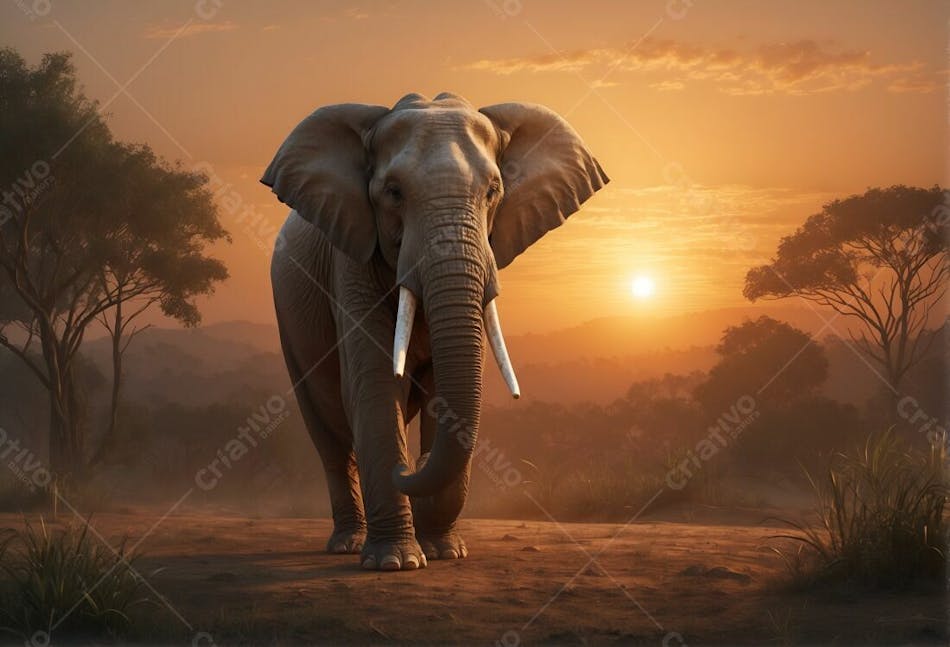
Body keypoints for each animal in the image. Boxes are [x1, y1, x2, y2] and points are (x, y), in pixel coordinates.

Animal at [264, 92, 607, 571]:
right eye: (393, 193)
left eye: (493, 191)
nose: (417, 460)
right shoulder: (350, 260)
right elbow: (373, 385)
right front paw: (395, 563)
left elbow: (444, 395)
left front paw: (444, 551)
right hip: (290, 320)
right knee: (329, 435)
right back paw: (348, 543)